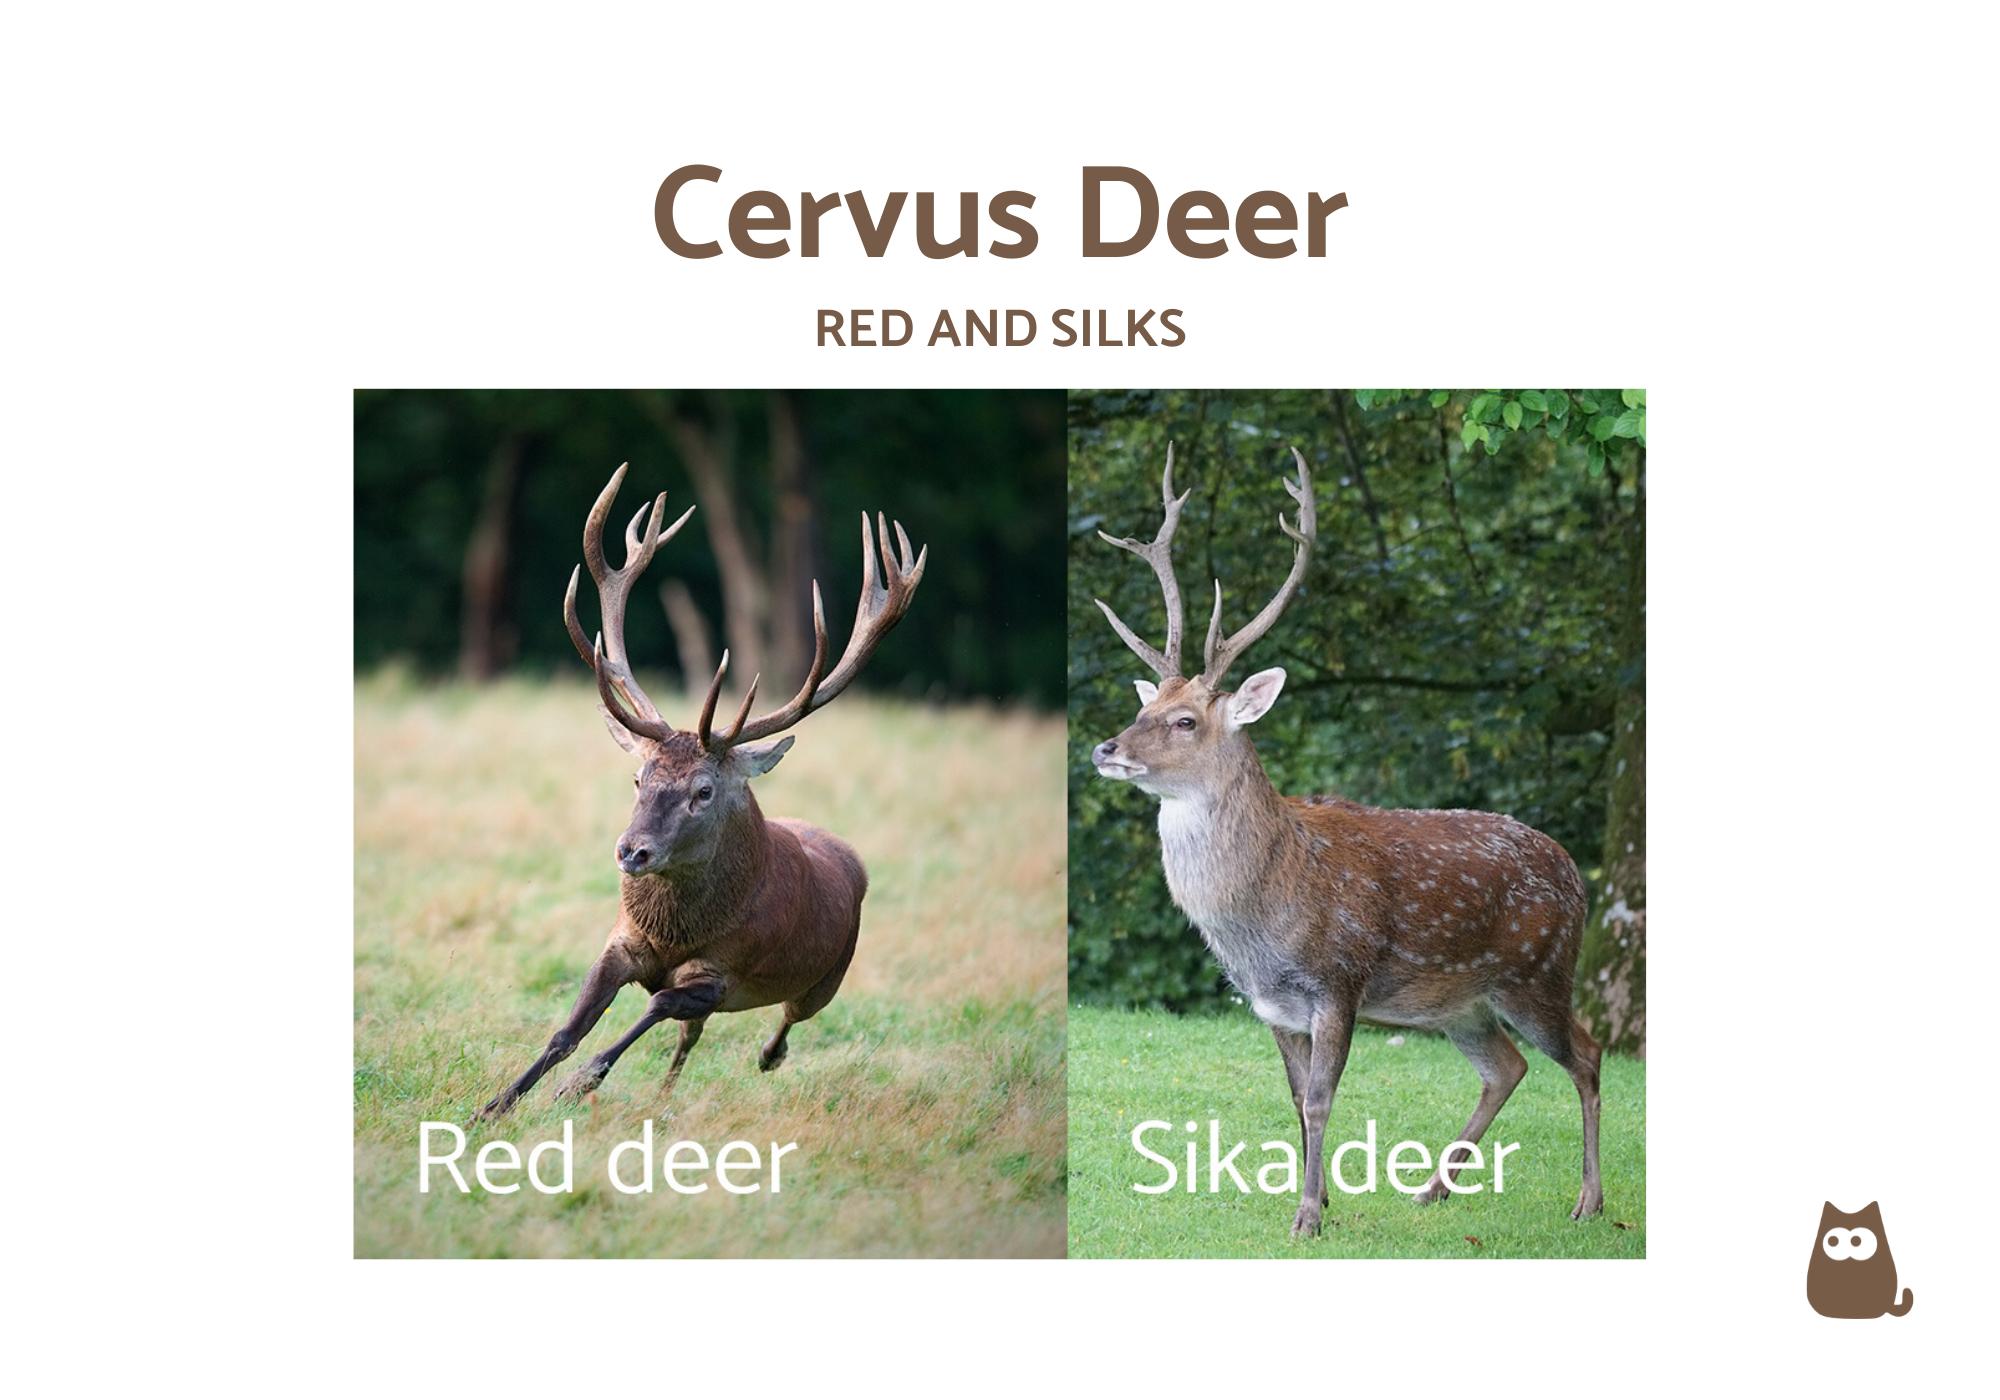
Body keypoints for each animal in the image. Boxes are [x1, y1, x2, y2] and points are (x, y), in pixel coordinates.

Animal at [476, 463, 925, 1122]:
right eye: (639, 778)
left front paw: (577, 1084)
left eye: (704, 791)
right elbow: (567, 1029)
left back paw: (767, 1056)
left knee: (785, 1020)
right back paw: (664, 1096)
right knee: (691, 1039)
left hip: (827, 977)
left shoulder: (722, 973)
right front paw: (495, 1105)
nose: (632, 851)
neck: (673, 933)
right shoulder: (621, 942)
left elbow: (656, 1005)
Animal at [1087, 445, 1602, 1237]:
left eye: (1185, 721)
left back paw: (1588, 1201)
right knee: (1507, 1067)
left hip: (1538, 972)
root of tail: (1577, 875)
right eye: (1145, 706)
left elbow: (1323, 1097)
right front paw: (1319, 1200)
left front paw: (1307, 1217)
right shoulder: (1269, 1005)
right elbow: (1296, 1097)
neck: (1263, 918)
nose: (1106, 749)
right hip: (1459, 1004)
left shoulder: (1340, 982)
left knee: (1587, 1053)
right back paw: (1431, 1190)